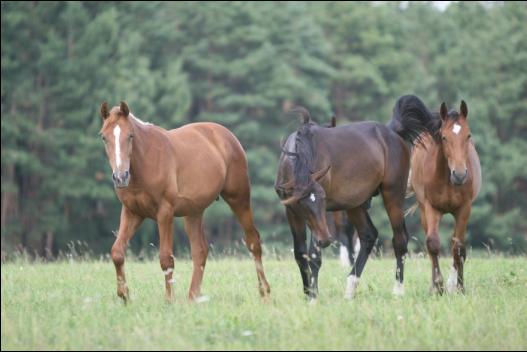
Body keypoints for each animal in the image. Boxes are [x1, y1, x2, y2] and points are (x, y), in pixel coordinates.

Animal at [100, 100, 272, 302]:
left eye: (130, 136)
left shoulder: (165, 212)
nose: (120, 177)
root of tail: (227, 136)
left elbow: (166, 258)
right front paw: (124, 295)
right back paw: (193, 297)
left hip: (239, 199)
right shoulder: (132, 212)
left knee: (253, 241)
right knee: (200, 250)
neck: (146, 161)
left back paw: (264, 292)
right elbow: (117, 252)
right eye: (103, 137)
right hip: (193, 212)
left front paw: (169, 300)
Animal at [274, 95, 440, 300]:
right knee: (368, 235)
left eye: (322, 200)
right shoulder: (292, 212)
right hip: (355, 204)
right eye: (302, 204)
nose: (325, 240)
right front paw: (308, 294)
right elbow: (300, 254)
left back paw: (398, 290)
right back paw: (350, 288)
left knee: (400, 239)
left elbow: (313, 256)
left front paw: (313, 297)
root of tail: (392, 131)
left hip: (392, 194)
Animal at [412, 99, 482, 294]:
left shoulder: (464, 208)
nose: (459, 175)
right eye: (444, 137)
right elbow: (433, 244)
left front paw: (460, 287)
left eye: (468, 136)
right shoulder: (431, 207)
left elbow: (458, 248)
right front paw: (438, 286)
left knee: (454, 245)